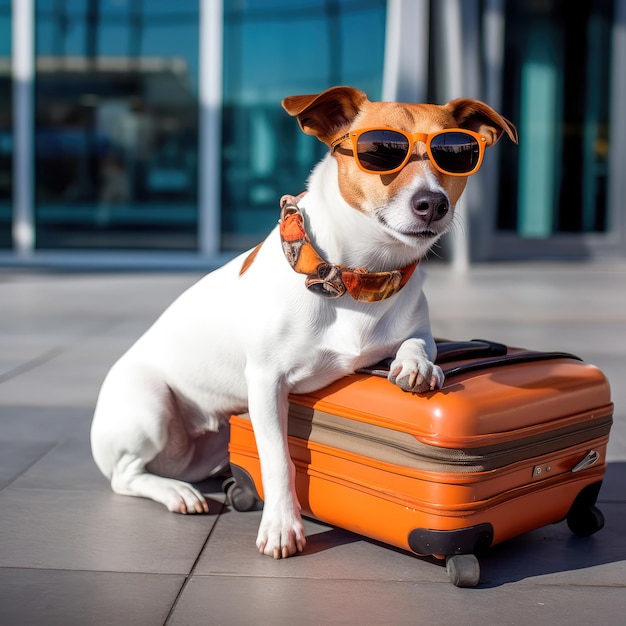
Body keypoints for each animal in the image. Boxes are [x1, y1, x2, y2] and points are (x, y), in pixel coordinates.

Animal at [89, 85, 516, 560]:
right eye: (380, 152)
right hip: (150, 408)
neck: (358, 277)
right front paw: (281, 526)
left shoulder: (416, 328)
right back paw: (175, 493)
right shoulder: (265, 383)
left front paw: (417, 365)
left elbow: (419, 341)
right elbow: (277, 458)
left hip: (200, 449)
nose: (433, 203)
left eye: (457, 154)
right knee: (125, 476)